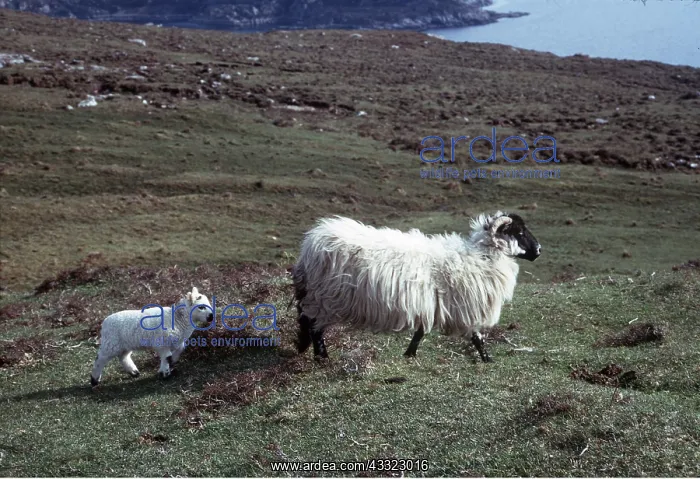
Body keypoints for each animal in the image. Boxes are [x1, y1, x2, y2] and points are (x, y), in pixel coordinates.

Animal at [291, 211, 541, 362]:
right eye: (519, 233)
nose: (539, 250)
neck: (482, 257)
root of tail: (312, 243)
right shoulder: (464, 307)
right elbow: (476, 336)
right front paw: (487, 359)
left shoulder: (432, 303)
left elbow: (421, 332)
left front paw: (409, 354)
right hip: (324, 298)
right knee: (314, 326)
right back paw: (321, 357)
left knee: (306, 321)